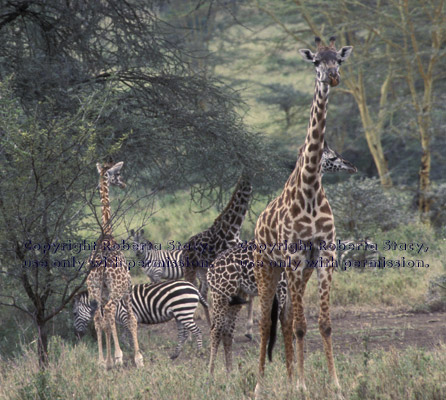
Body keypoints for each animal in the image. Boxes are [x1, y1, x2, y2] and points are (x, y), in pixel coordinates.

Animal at [73, 280, 209, 360]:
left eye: (74, 314)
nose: (77, 335)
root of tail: (193, 287)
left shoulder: (126, 316)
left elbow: (128, 337)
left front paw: (135, 351)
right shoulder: (124, 321)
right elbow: (125, 337)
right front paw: (131, 350)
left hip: (184, 312)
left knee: (197, 331)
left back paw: (199, 352)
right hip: (179, 314)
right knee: (183, 334)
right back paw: (175, 355)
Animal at [86, 162, 143, 368]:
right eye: (117, 174)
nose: (123, 184)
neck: (108, 233)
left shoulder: (103, 294)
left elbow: (105, 323)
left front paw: (107, 360)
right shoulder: (127, 288)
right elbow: (132, 319)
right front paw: (138, 358)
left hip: (94, 289)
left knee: (99, 318)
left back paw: (102, 361)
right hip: (117, 290)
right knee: (111, 312)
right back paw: (118, 357)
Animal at [181, 173, 251, 324]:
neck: (234, 227)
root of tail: (184, 247)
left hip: (203, 271)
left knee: (202, 294)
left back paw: (209, 325)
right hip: (190, 269)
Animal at [207, 141, 358, 376]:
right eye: (332, 157)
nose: (351, 166)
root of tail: (210, 270)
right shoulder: (284, 287)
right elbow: (284, 324)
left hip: (235, 297)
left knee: (226, 331)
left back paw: (230, 372)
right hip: (221, 295)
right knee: (215, 329)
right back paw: (211, 373)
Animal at [254, 38, 352, 396]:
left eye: (339, 60)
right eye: (315, 62)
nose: (333, 77)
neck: (310, 189)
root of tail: (257, 224)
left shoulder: (324, 253)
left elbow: (323, 324)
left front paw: (335, 385)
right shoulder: (294, 256)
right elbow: (300, 325)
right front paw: (302, 386)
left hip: (300, 271)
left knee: (283, 319)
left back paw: (287, 377)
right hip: (267, 267)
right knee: (266, 322)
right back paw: (260, 386)